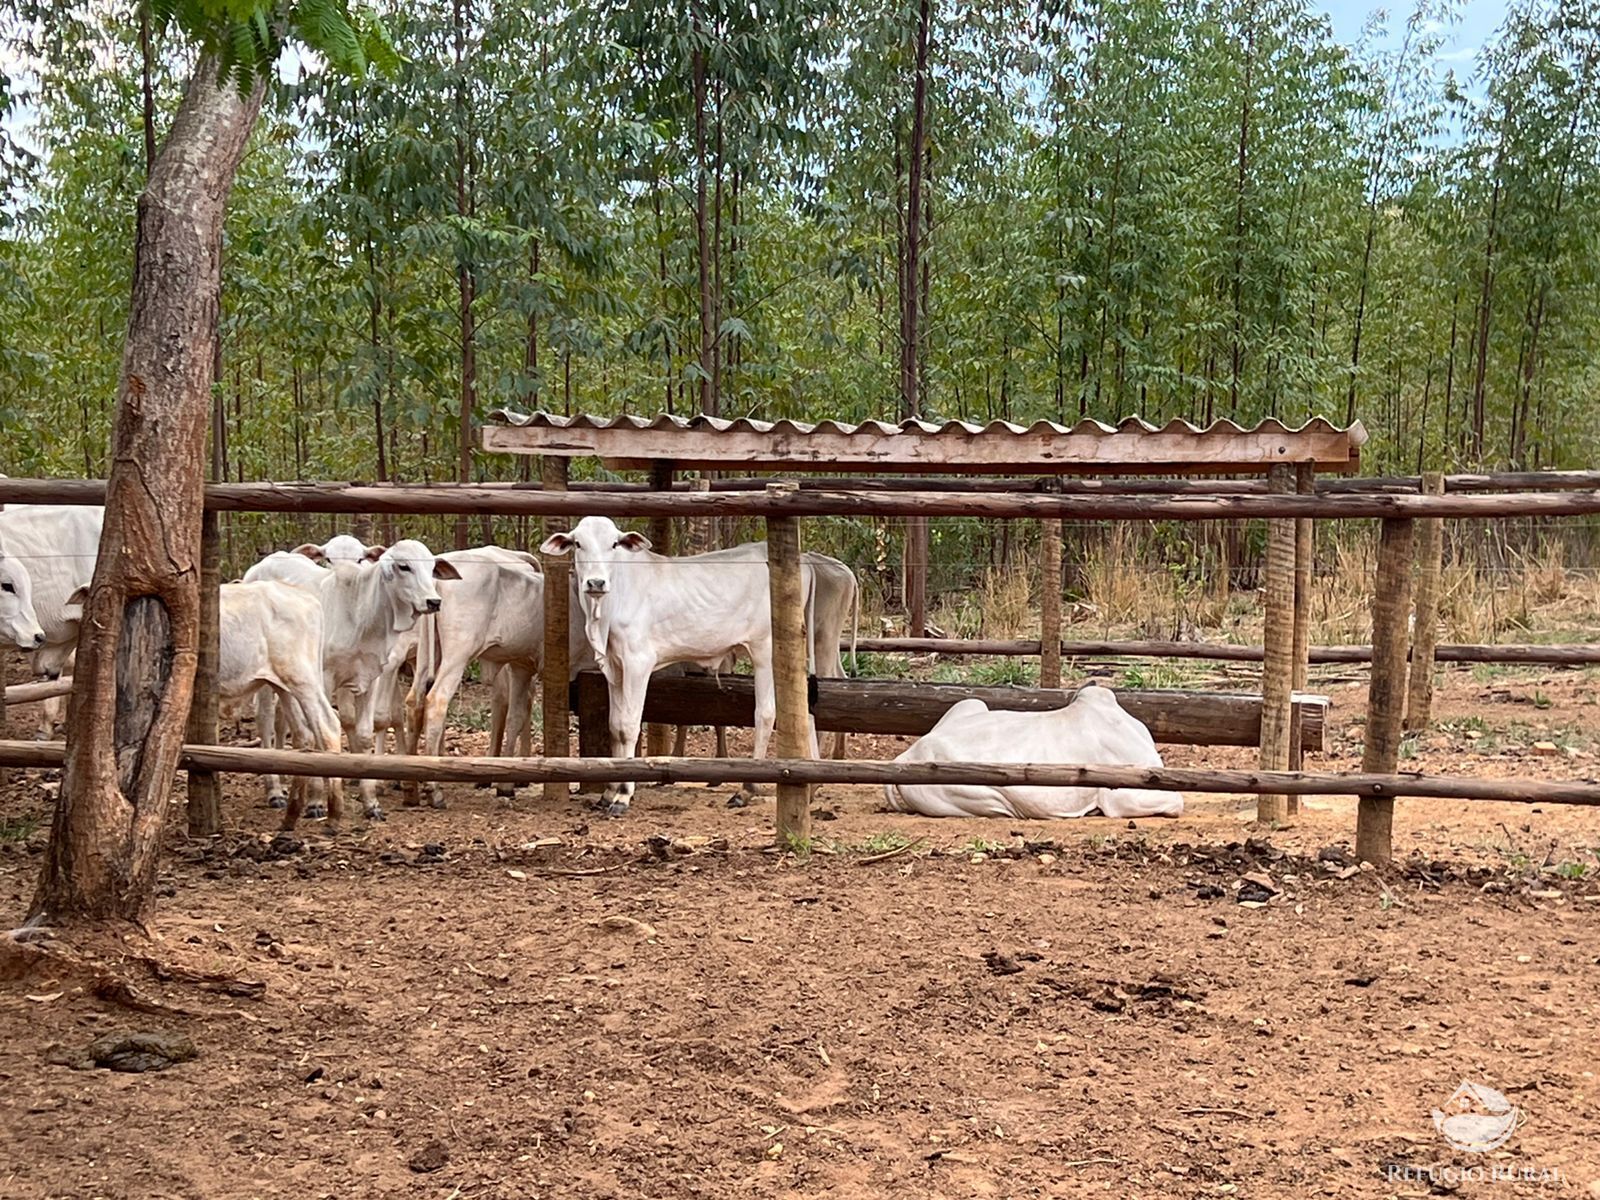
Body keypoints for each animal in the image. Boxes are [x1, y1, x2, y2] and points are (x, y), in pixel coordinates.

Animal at [540, 518, 812, 819]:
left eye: (614, 543)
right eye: (578, 543)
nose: (596, 582)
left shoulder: (637, 662)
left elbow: (628, 726)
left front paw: (623, 794)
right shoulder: (615, 668)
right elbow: (614, 726)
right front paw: (608, 791)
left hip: (764, 649)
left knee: (764, 713)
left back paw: (746, 789)